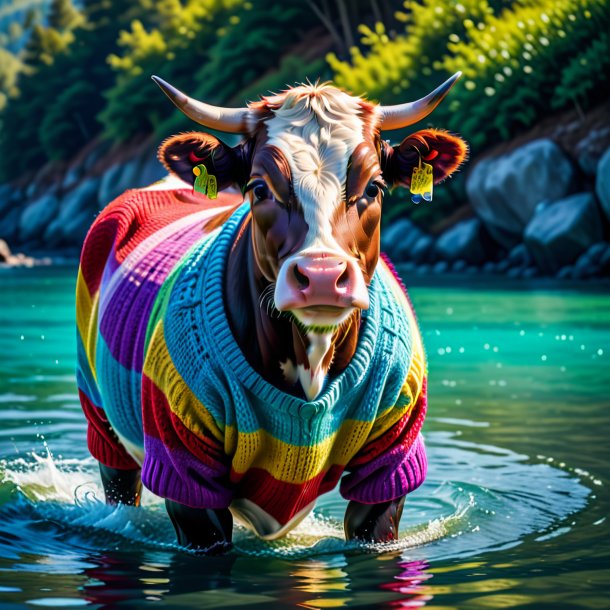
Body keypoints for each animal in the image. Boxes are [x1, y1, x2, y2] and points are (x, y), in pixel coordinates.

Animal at [76, 72, 466, 552]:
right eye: (260, 188)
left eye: (373, 187)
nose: (322, 276)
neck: (308, 358)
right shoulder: (182, 466)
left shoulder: (392, 462)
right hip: (101, 418)